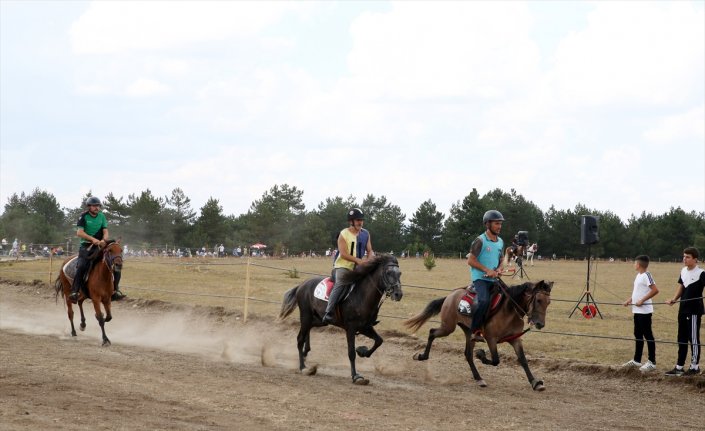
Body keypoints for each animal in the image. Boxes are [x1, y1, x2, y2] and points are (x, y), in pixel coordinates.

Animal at [280, 253, 402, 384]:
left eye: (400, 273)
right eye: (388, 273)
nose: (398, 294)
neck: (362, 296)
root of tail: (302, 285)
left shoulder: (365, 327)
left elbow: (379, 341)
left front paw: (362, 351)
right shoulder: (351, 328)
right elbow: (351, 353)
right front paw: (355, 376)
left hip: (319, 320)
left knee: (308, 330)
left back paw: (305, 352)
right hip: (305, 315)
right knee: (300, 339)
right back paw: (303, 367)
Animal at [404, 280, 552, 392]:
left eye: (548, 302)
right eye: (538, 300)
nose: (540, 324)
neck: (509, 310)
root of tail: (450, 296)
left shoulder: (515, 339)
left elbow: (523, 360)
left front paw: (535, 382)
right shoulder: (491, 338)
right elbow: (495, 360)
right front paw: (480, 354)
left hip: (468, 332)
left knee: (468, 354)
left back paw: (478, 378)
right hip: (448, 327)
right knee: (432, 332)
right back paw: (421, 356)